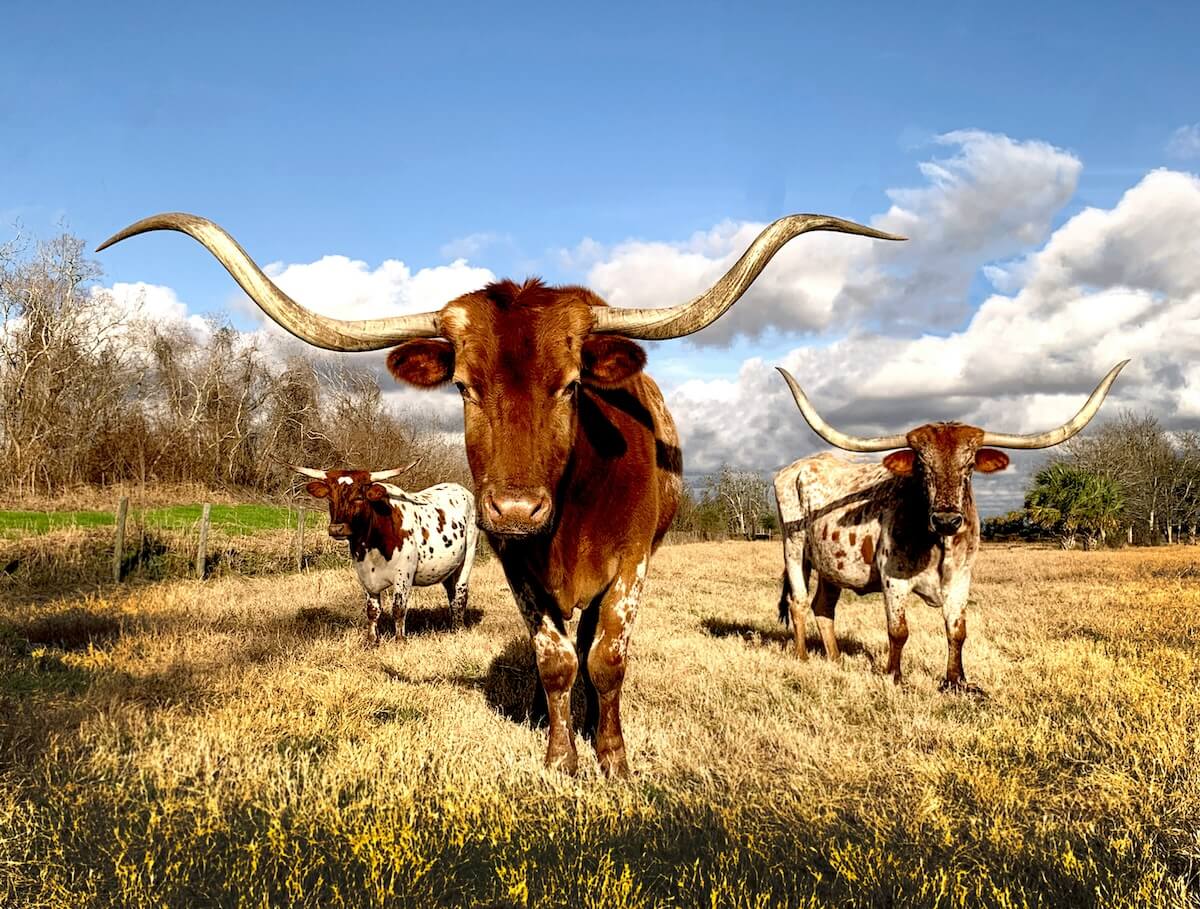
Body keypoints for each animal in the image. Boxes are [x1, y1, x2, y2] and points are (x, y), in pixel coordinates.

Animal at [293, 462, 478, 643]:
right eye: (330, 498)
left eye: (359, 497)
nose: (337, 528)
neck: (371, 546)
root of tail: (460, 488)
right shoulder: (365, 576)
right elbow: (372, 610)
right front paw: (372, 641)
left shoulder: (403, 575)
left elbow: (398, 608)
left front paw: (400, 640)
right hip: (448, 568)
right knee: (452, 594)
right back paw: (453, 627)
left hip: (467, 557)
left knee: (460, 595)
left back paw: (459, 630)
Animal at [772, 361, 1128, 691]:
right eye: (921, 466)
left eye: (969, 466)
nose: (947, 520)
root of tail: (796, 467)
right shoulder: (893, 579)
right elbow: (898, 631)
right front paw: (894, 677)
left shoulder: (961, 579)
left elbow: (957, 631)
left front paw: (956, 681)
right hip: (794, 547)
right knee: (799, 601)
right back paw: (802, 657)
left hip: (831, 566)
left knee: (823, 607)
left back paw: (834, 659)